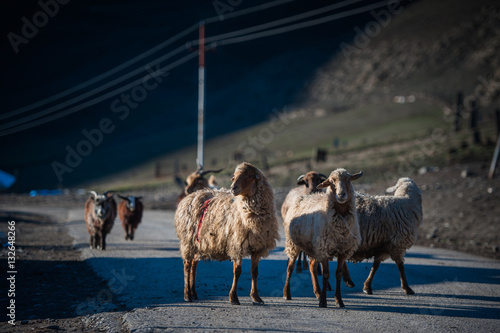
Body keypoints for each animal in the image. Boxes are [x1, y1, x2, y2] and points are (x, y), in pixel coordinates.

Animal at [174, 162, 280, 304]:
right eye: (233, 177)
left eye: (250, 175)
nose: (233, 188)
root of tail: (191, 195)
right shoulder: (236, 244)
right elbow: (237, 271)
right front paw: (233, 297)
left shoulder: (257, 247)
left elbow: (254, 272)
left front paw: (256, 297)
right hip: (188, 241)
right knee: (187, 265)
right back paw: (187, 295)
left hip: (198, 243)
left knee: (193, 265)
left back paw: (193, 293)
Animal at [284, 167, 362, 308]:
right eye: (331, 182)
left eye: (348, 180)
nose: (341, 195)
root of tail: (302, 198)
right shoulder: (325, 249)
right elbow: (326, 275)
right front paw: (324, 302)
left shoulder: (342, 250)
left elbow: (338, 274)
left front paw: (338, 300)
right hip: (293, 244)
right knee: (290, 267)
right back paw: (287, 293)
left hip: (314, 248)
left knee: (311, 266)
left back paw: (318, 293)